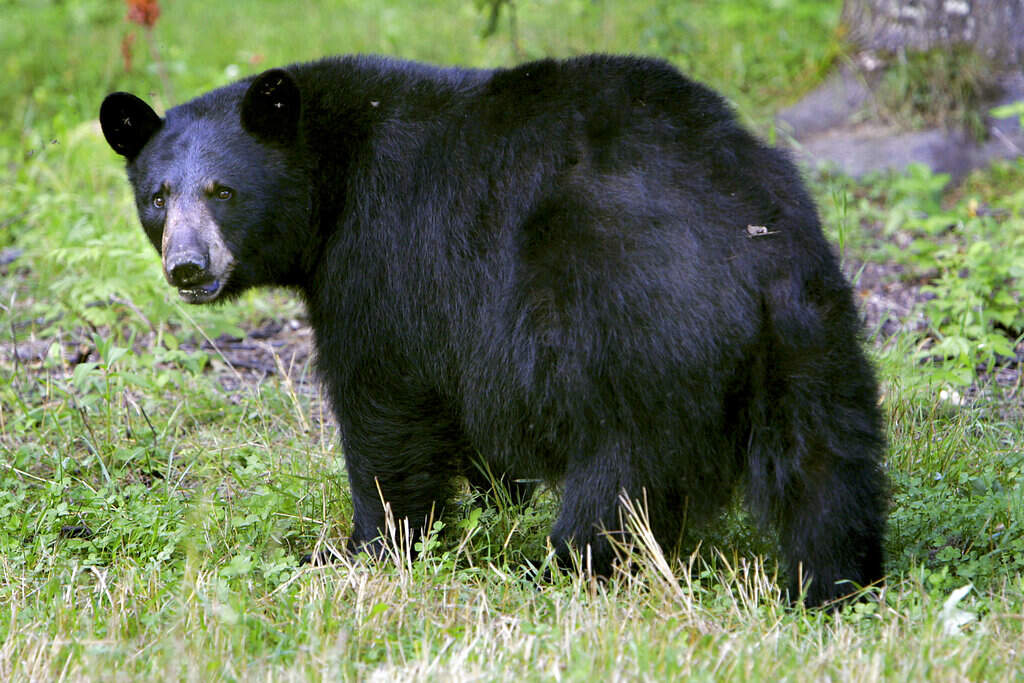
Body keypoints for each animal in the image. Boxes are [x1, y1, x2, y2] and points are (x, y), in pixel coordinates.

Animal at [100, 54, 887, 607]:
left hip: (635, 332)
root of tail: (746, 244)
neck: (331, 178)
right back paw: (834, 584)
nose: (188, 265)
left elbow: (383, 405)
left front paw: (366, 548)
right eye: (157, 197)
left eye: (223, 191)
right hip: (811, 334)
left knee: (621, 480)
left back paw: (561, 569)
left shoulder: (384, 259)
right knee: (827, 465)